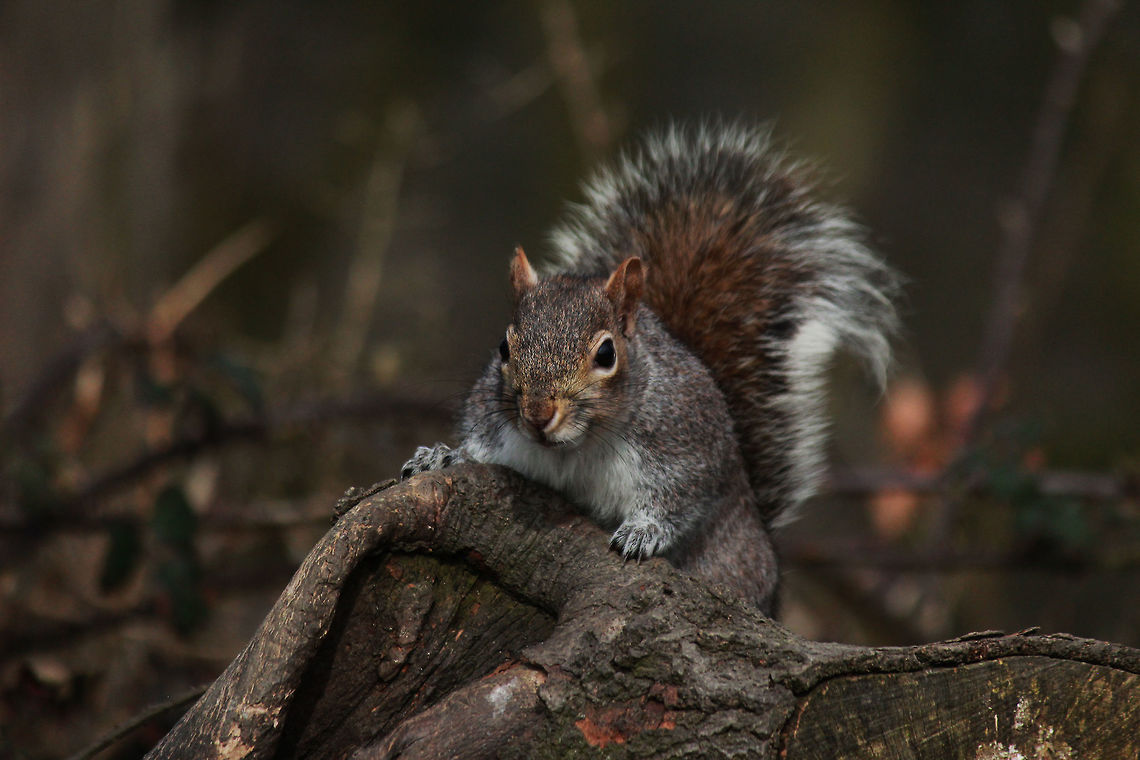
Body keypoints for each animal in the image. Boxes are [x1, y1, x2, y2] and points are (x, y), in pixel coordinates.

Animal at [400, 123, 898, 613]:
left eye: (606, 354)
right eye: (504, 347)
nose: (538, 415)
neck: (575, 448)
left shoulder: (687, 448)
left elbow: (681, 499)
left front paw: (644, 532)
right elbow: (480, 451)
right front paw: (443, 455)